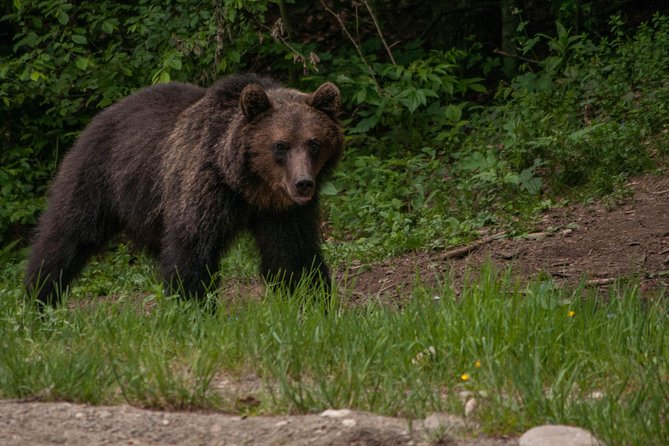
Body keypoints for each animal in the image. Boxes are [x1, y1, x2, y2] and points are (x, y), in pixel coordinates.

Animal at [24, 73, 344, 306]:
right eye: (280, 145)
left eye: (313, 143)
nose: (303, 183)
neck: (248, 186)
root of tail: (101, 115)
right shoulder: (204, 184)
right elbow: (192, 246)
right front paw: (195, 306)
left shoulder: (282, 211)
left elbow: (292, 253)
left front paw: (313, 301)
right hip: (98, 176)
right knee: (67, 234)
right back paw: (39, 297)